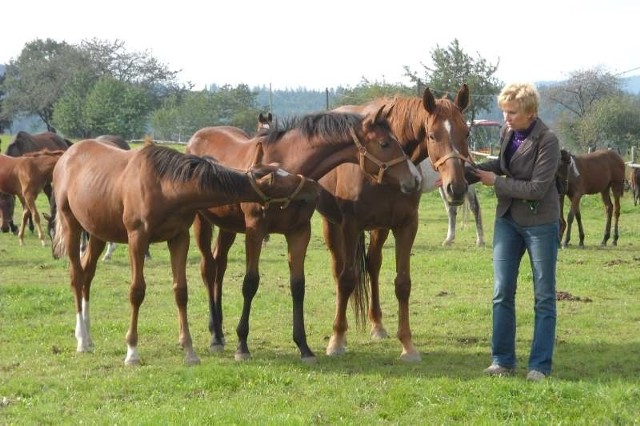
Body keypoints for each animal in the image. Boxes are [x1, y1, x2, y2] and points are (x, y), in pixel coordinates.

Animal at [50, 140, 320, 366]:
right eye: (283, 183)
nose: (315, 188)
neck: (163, 184)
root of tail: (66, 156)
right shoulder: (138, 239)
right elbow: (137, 291)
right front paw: (132, 351)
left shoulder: (179, 238)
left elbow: (181, 291)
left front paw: (189, 351)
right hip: (72, 225)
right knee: (76, 276)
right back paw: (81, 340)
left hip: (96, 232)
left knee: (87, 275)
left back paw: (87, 335)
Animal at [185, 108, 420, 362]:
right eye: (385, 143)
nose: (415, 179)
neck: (285, 169)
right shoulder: (255, 229)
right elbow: (250, 283)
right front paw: (242, 345)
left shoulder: (299, 232)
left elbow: (298, 286)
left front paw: (303, 346)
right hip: (202, 222)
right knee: (209, 268)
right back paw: (215, 337)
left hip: (228, 226)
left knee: (220, 265)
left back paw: (218, 331)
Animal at [324, 85, 470, 362]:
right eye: (432, 136)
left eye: (466, 133)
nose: (455, 188)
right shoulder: (350, 225)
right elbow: (347, 279)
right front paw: (336, 340)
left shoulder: (406, 226)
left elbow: (402, 284)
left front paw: (408, 345)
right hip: (332, 226)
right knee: (339, 271)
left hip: (379, 229)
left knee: (373, 264)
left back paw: (377, 325)